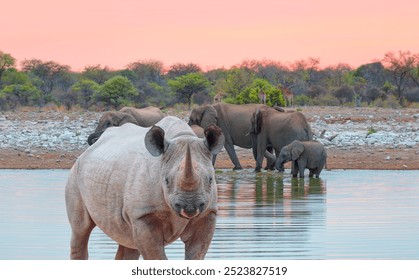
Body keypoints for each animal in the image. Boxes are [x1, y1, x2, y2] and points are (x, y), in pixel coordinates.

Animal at [65, 116, 226, 260]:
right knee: (81, 229)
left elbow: (196, 254)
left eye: (210, 179)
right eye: (166, 181)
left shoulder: (207, 213)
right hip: (76, 172)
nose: (190, 207)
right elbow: (156, 256)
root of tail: (88, 150)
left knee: (128, 241)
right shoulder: (143, 214)